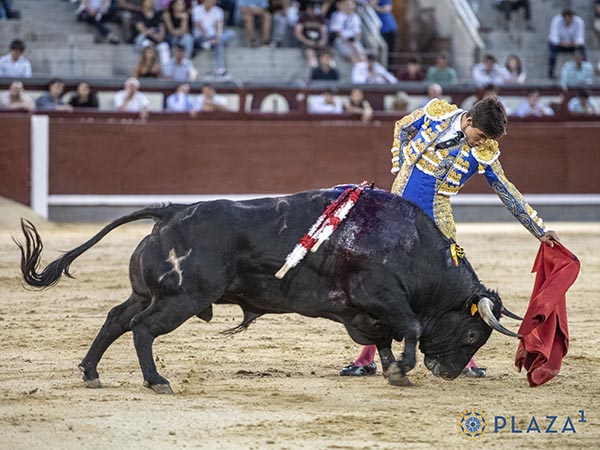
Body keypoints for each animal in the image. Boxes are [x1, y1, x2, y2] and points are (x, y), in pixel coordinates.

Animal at [15, 186, 520, 394]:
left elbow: (384, 338)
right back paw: (157, 381)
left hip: (149, 292)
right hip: (181, 300)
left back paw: (90, 372)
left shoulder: (366, 312)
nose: (448, 373)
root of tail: (170, 212)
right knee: (141, 329)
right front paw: (403, 369)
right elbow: (410, 327)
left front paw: (394, 370)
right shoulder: (382, 296)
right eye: (472, 334)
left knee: (117, 319)